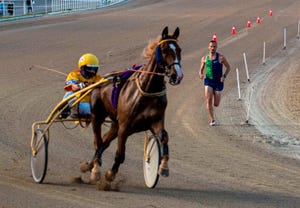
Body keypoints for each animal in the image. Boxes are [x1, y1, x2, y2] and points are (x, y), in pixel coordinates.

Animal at [84, 26, 183, 183]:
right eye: (164, 50)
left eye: (179, 50)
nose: (177, 75)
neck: (147, 89)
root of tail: (99, 80)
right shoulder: (124, 127)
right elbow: (120, 153)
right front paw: (111, 173)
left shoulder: (155, 121)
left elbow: (164, 137)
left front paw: (163, 167)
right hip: (97, 117)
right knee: (98, 142)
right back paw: (95, 168)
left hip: (115, 123)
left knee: (104, 141)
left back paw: (91, 165)